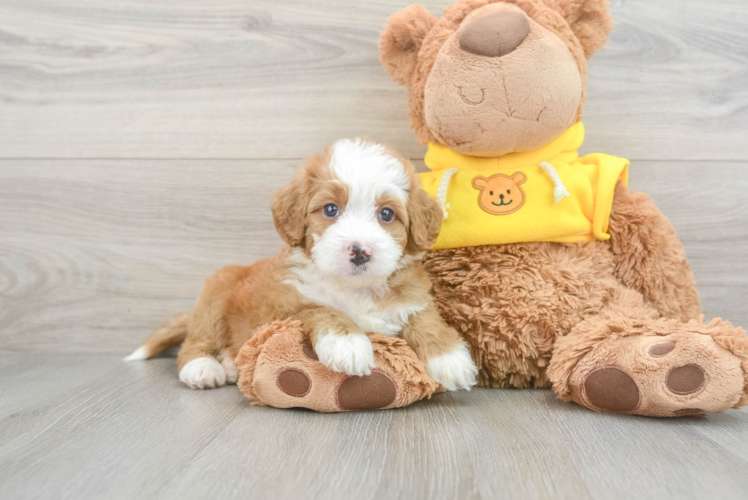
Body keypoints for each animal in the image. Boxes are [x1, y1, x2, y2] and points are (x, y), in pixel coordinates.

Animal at [127, 137, 480, 390]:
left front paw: (452, 360)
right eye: (330, 209)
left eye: (386, 214)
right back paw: (203, 368)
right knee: (195, 342)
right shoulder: (285, 307)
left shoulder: (413, 296)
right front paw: (349, 343)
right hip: (215, 293)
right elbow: (323, 309)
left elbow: (426, 320)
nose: (360, 251)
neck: (356, 289)